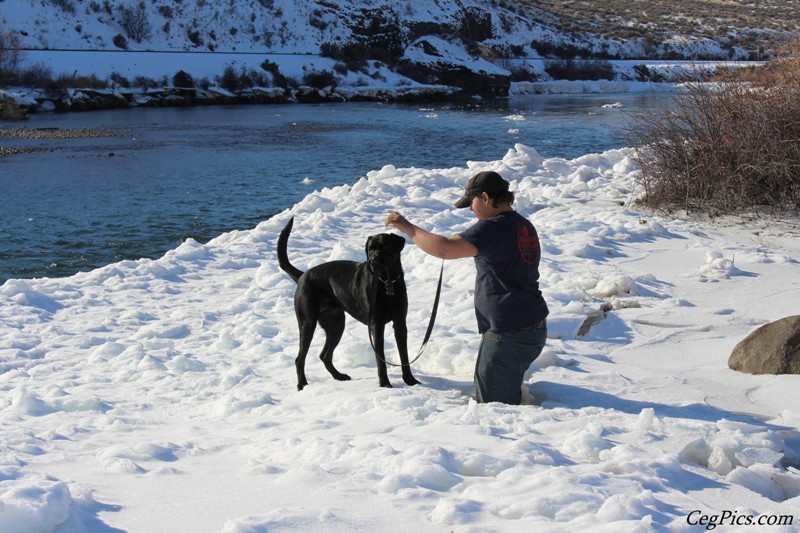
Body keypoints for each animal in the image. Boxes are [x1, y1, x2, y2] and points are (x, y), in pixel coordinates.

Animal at [278, 216, 422, 390]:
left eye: (385, 247)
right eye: (370, 249)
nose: (373, 259)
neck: (387, 281)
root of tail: (302, 275)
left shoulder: (400, 323)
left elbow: (404, 356)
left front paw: (410, 380)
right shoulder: (376, 325)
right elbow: (380, 358)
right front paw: (385, 384)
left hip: (336, 323)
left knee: (324, 355)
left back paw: (339, 376)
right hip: (307, 323)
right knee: (300, 358)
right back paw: (302, 385)